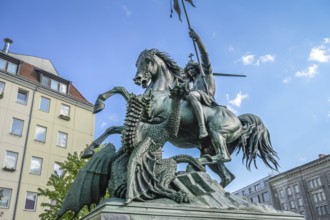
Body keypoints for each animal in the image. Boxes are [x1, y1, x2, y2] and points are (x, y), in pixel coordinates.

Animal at [91, 48, 278, 187]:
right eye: (137, 62)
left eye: (148, 60)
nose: (138, 79)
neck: (162, 92)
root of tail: (239, 120)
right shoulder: (144, 118)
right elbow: (115, 117)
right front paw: (91, 147)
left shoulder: (154, 119)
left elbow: (122, 105)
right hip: (209, 147)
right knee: (226, 175)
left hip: (217, 133)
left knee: (223, 156)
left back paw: (191, 165)